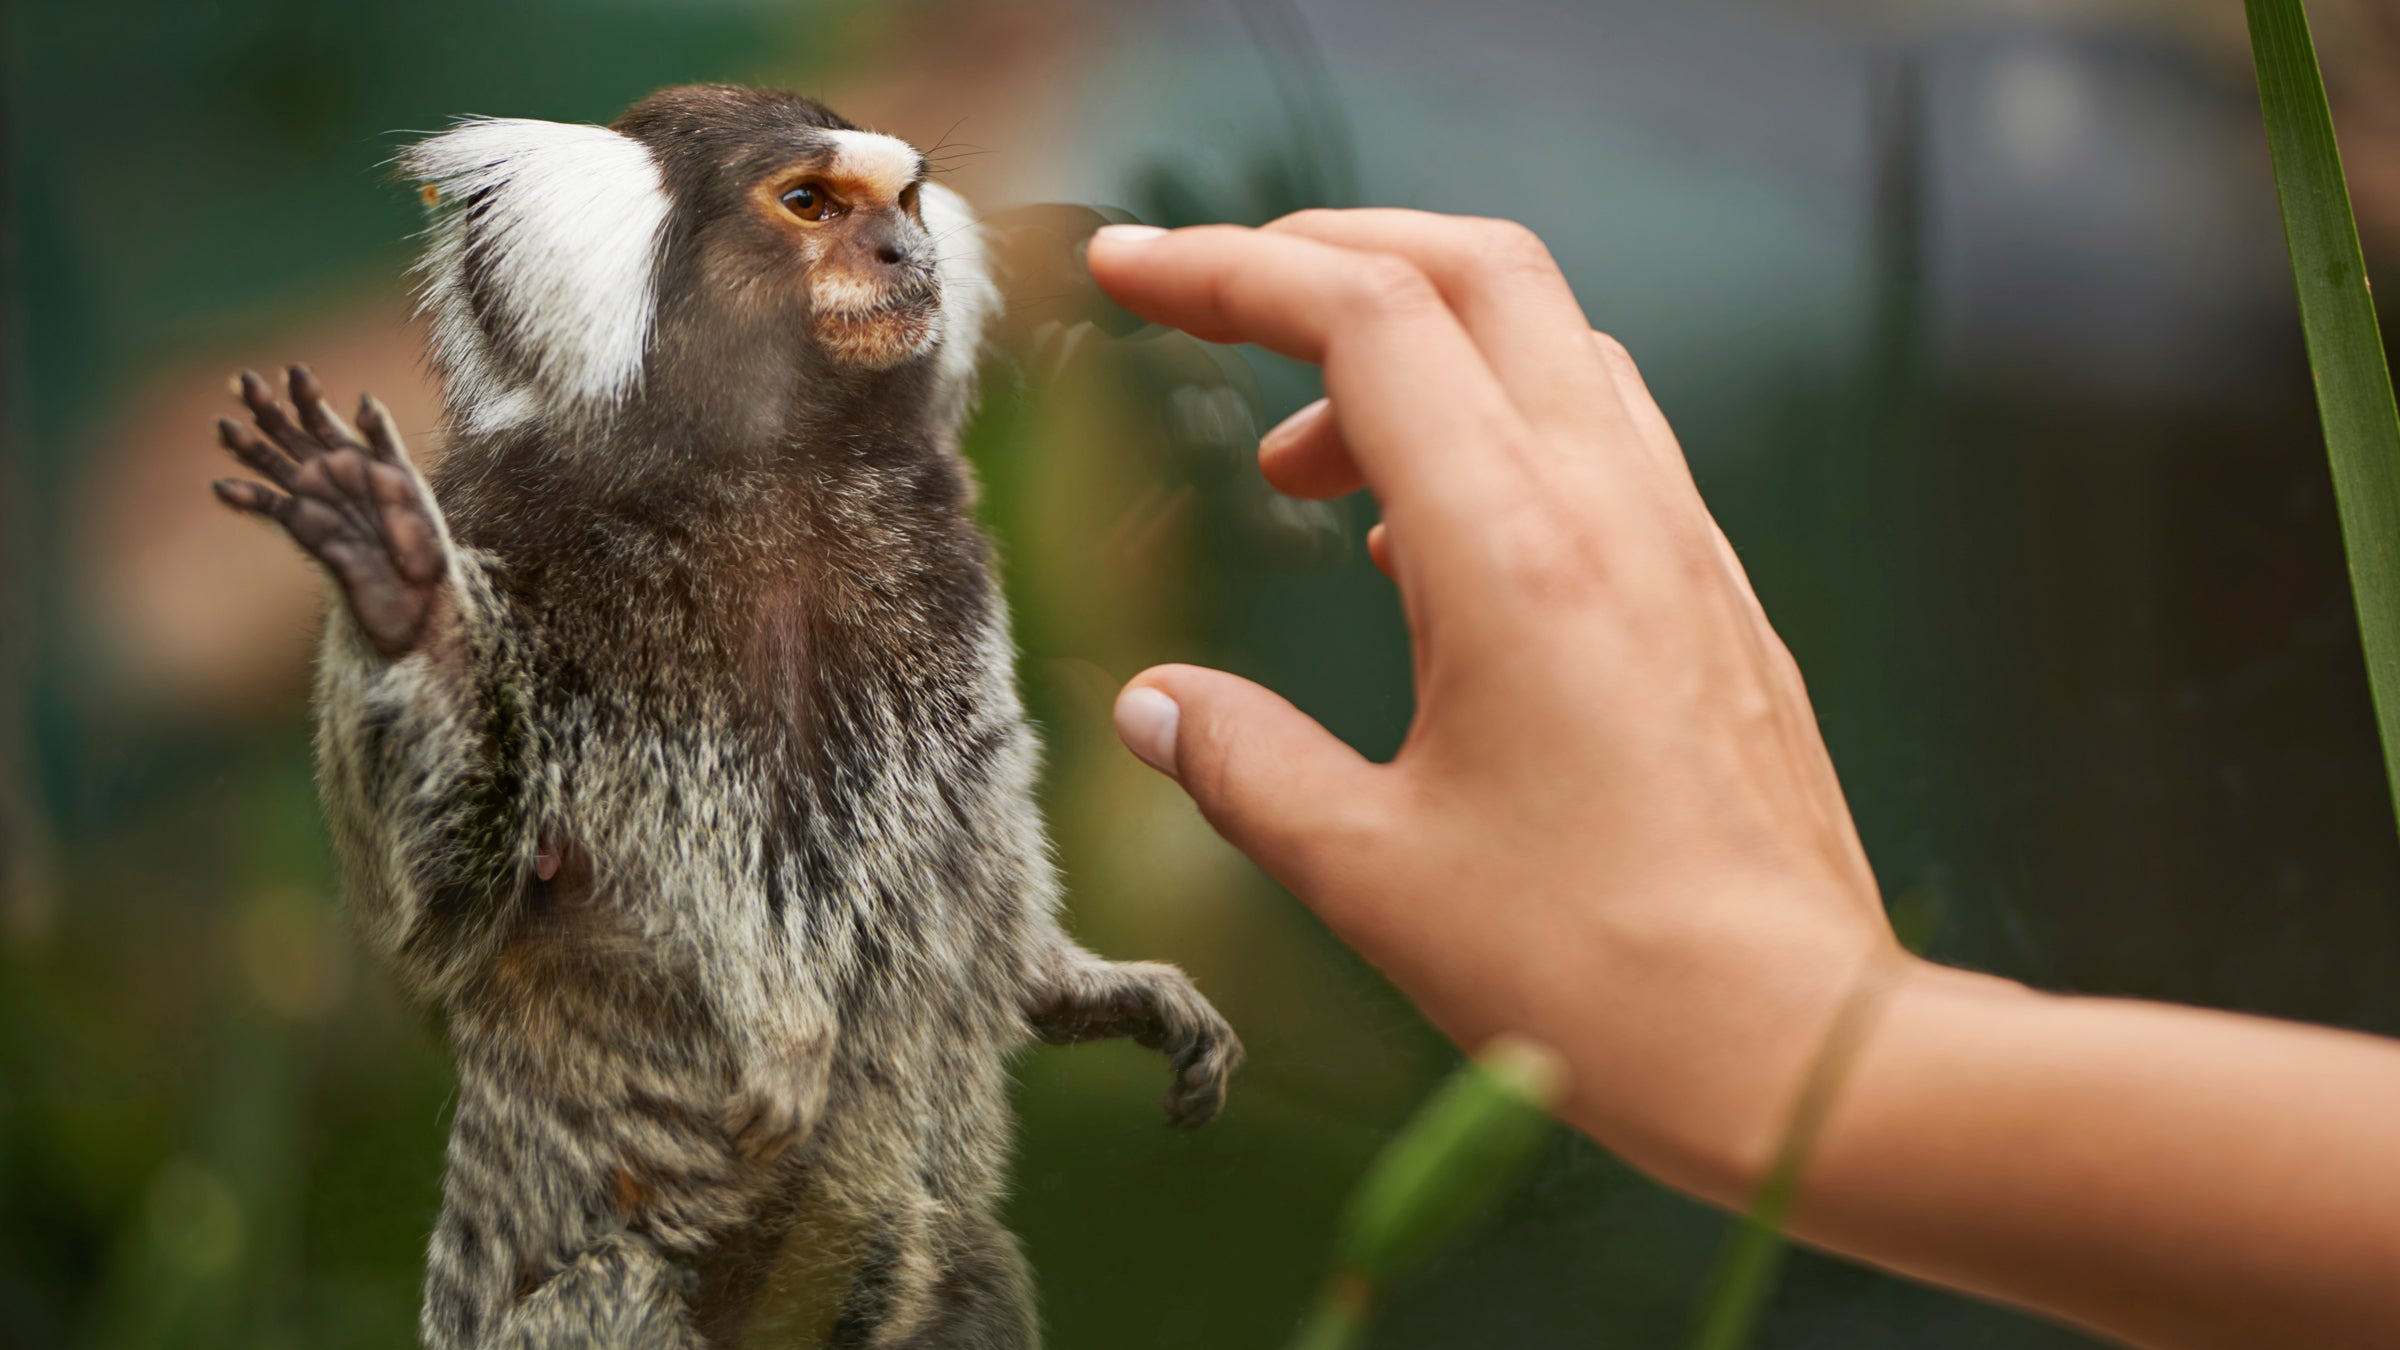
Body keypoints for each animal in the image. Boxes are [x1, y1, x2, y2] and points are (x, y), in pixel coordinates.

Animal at [207, 85, 1241, 1349]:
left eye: (902, 203)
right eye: (810, 204)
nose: (907, 255)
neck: (775, 468)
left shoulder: (951, 580)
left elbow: (973, 861)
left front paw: (1082, 986)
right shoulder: (508, 533)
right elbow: (446, 905)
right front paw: (400, 595)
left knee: (966, 1269)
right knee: (622, 1285)